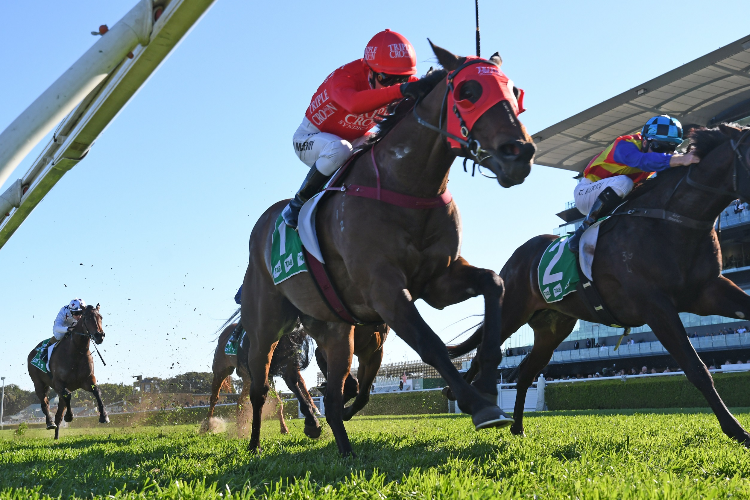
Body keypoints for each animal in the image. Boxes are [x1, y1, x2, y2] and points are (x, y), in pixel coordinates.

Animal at [27, 302, 108, 440]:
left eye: (101, 317)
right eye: (87, 318)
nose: (99, 335)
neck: (76, 351)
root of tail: (32, 352)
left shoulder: (87, 380)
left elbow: (97, 391)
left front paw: (104, 416)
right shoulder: (58, 383)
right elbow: (68, 396)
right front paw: (69, 416)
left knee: (59, 413)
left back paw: (56, 436)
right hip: (39, 383)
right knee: (45, 403)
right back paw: (50, 423)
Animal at [244, 43, 536, 458]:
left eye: (514, 91)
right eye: (468, 91)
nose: (520, 153)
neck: (407, 186)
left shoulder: (438, 281)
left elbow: (493, 283)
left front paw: (485, 382)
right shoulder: (386, 292)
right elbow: (431, 344)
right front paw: (477, 403)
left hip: (335, 330)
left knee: (333, 393)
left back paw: (343, 446)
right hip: (266, 324)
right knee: (259, 385)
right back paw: (254, 444)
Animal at [450, 124, 750, 446]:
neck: (671, 222)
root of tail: (513, 261)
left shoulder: (708, 292)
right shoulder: (656, 307)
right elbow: (696, 368)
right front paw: (737, 430)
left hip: (553, 327)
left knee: (528, 371)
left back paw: (517, 427)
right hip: (511, 313)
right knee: (482, 354)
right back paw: (474, 403)